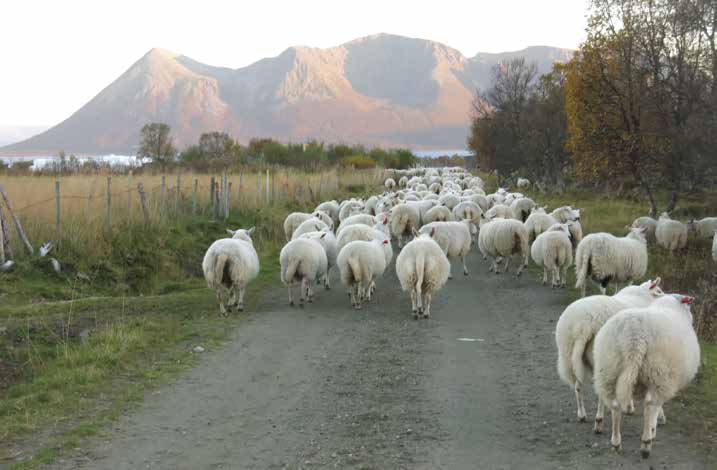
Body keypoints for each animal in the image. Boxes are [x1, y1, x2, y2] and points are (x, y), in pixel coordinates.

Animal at [556, 280, 664, 430]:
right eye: (659, 291)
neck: (643, 295)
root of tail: (582, 326)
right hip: (603, 356)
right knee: (600, 389)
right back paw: (599, 420)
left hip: (568, 353)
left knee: (578, 385)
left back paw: (582, 415)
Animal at [592, 294, 700, 456]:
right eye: (688, 306)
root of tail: (634, 336)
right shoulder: (666, 380)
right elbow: (658, 405)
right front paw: (656, 425)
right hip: (658, 371)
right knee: (649, 405)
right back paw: (646, 442)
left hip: (608, 368)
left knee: (615, 405)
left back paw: (616, 442)